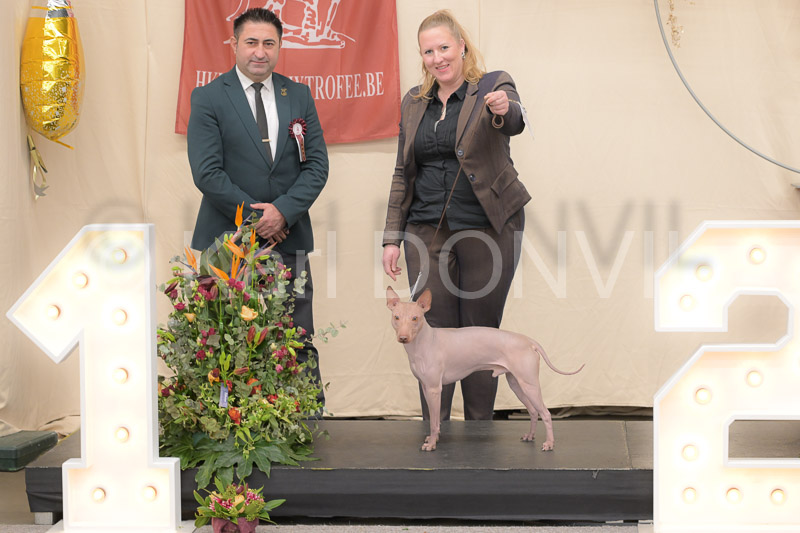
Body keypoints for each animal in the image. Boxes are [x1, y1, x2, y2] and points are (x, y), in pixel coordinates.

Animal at [386, 286, 584, 452]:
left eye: (415, 318)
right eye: (396, 317)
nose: (403, 338)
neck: (425, 341)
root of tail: (528, 341)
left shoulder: (435, 389)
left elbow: (435, 422)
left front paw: (432, 444)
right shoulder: (427, 388)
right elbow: (434, 420)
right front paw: (432, 439)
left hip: (530, 385)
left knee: (546, 413)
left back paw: (549, 443)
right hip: (517, 384)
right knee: (534, 411)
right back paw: (530, 436)